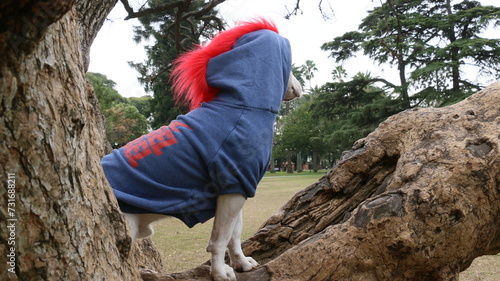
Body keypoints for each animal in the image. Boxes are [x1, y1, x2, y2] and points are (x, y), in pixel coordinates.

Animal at [101, 18, 300, 280]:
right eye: (291, 66)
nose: (298, 86)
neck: (239, 104)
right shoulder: (233, 187)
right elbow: (219, 240)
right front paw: (219, 272)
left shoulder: (236, 187)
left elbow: (234, 235)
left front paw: (241, 262)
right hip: (126, 225)